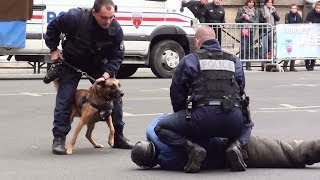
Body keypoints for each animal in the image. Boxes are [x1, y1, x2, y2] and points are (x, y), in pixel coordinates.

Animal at [44, 0, 133, 155]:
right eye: (111, 86)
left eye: (119, 85)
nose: (122, 94)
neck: (102, 99)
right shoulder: (82, 121)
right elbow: (74, 135)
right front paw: (69, 148)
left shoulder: (108, 117)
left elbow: (113, 128)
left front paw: (112, 140)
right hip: (73, 117)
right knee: (68, 126)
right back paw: (61, 144)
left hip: (91, 123)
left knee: (88, 135)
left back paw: (98, 144)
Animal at [154, 25, 254, 173]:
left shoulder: (184, 63)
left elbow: (177, 89)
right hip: (239, 122)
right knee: (247, 128)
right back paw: (234, 153)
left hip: (192, 123)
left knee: (162, 128)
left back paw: (196, 153)